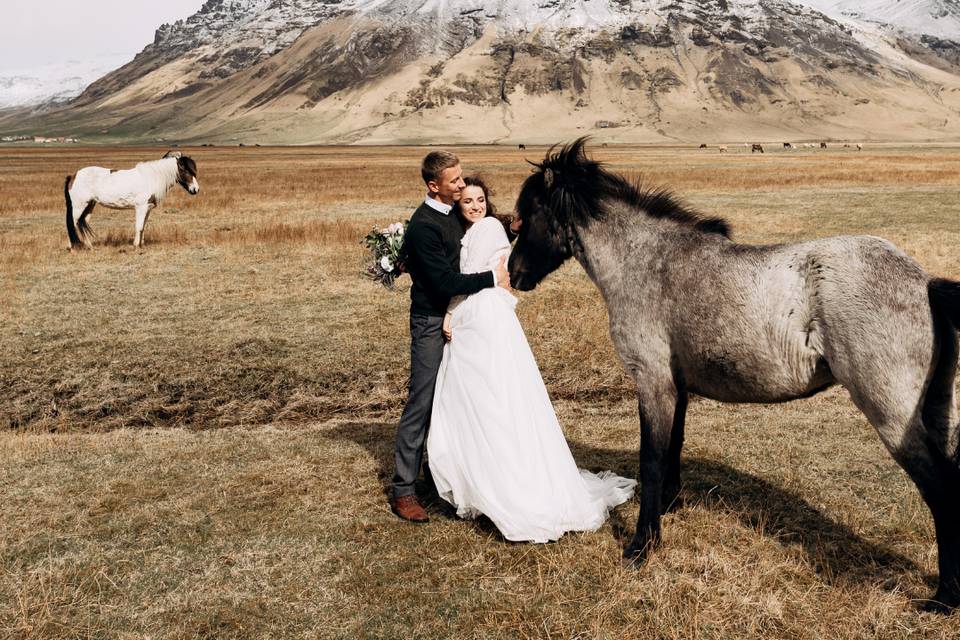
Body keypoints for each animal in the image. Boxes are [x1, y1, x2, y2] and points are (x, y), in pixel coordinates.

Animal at [65, 151, 199, 249]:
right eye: (185, 170)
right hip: (79, 206)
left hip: (90, 205)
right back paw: (74, 246)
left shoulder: (148, 208)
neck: (151, 178)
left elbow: (143, 226)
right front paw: (136, 246)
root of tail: (73, 176)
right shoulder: (141, 207)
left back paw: (89, 246)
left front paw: (141, 244)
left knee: (83, 223)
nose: (196, 189)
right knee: (74, 223)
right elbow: (138, 226)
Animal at [508, 139, 960, 613]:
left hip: (892, 416)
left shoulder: (652, 382)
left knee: (942, 490)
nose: (515, 273)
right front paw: (668, 508)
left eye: (530, 212)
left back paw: (945, 597)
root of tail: (925, 282)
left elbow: (651, 458)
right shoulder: (677, 386)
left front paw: (642, 545)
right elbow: (673, 447)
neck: (648, 263)